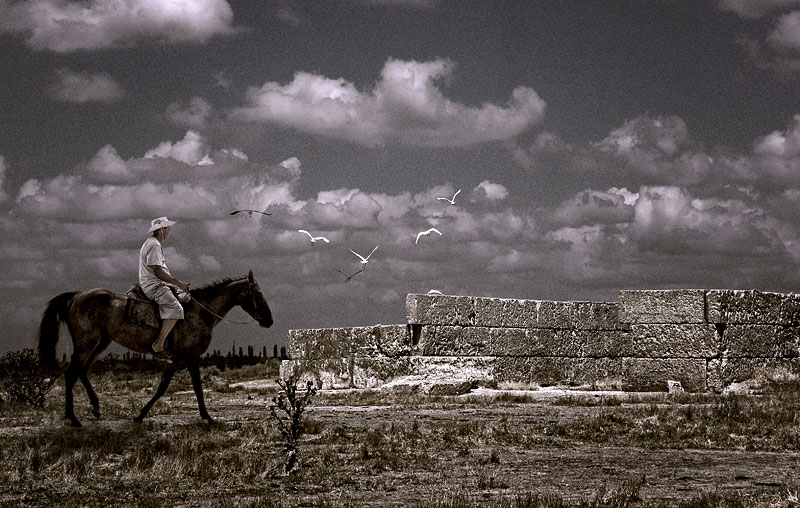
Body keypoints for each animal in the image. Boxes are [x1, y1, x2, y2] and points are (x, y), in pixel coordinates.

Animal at [37, 272, 274, 426]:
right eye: (257, 293)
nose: (269, 320)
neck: (200, 312)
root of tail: (76, 296)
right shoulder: (191, 357)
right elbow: (197, 387)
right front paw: (207, 417)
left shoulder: (175, 360)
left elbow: (161, 388)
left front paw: (140, 415)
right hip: (86, 344)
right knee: (71, 374)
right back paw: (74, 418)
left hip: (100, 343)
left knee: (83, 371)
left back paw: (95, 407)